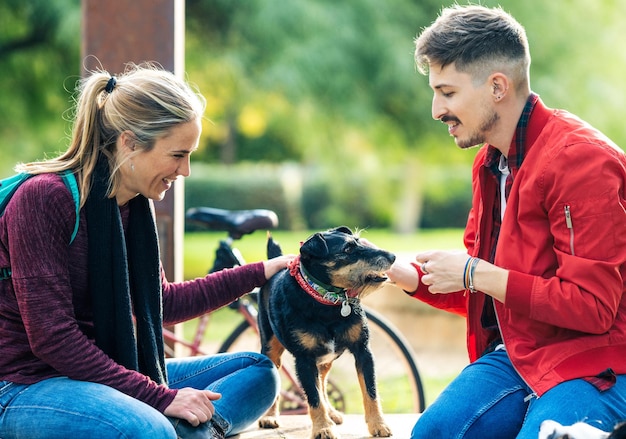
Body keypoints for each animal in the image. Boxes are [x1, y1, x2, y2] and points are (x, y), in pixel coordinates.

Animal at [255, 227, 392, 439]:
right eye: (348, 249)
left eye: (358, 241)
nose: (393, 257)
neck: (328, 301)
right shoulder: (304, 360)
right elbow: (313, 397)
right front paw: (322, 428)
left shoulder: (363, 351)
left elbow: (371, 391)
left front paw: (378, 424)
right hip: (271, 349)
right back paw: (270, 417)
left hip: (326, 360)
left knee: (323, 382)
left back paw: (332, 413)